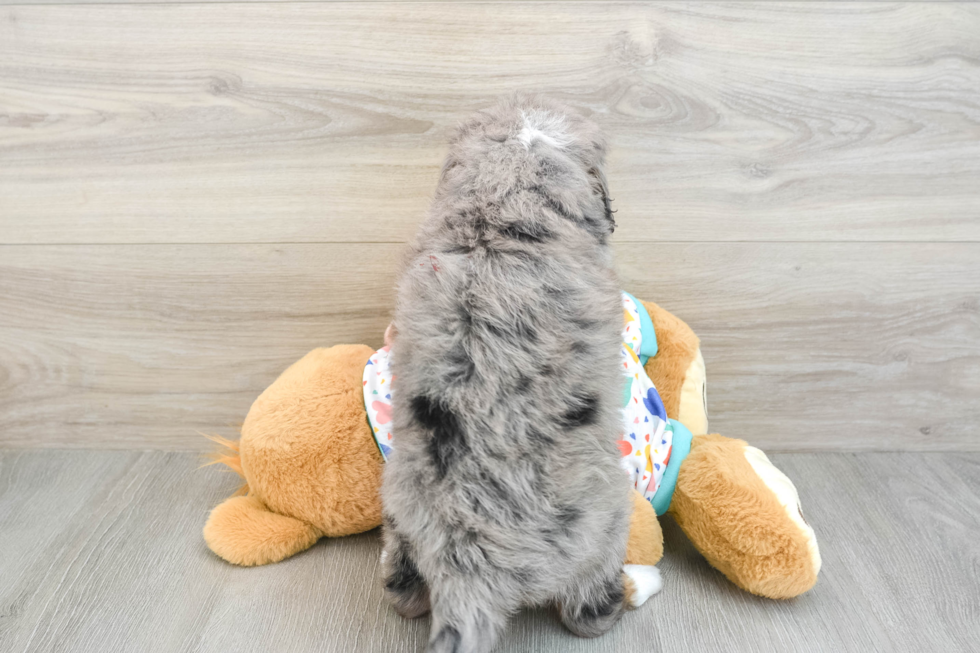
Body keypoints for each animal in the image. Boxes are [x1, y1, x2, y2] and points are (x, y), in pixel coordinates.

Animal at [378, 95, 632, 652]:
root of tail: (469, 568)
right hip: (605, 518)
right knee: (584, 607)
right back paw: (614, 602)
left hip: (398, 506)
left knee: (402, 586)